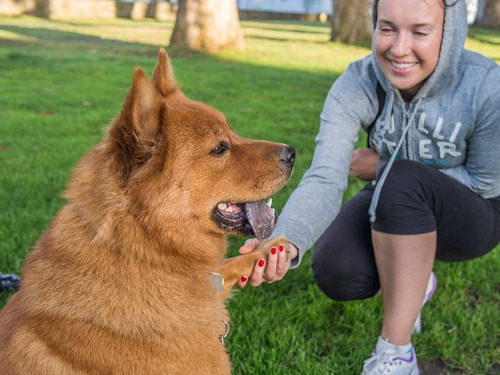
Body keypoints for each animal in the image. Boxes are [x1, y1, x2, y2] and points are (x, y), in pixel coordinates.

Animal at [0, 50, 294, 375]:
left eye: (232, 131)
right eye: (219, 148)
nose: (292, 153)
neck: (146, 251)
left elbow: (229, 265)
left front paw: (271, 249)